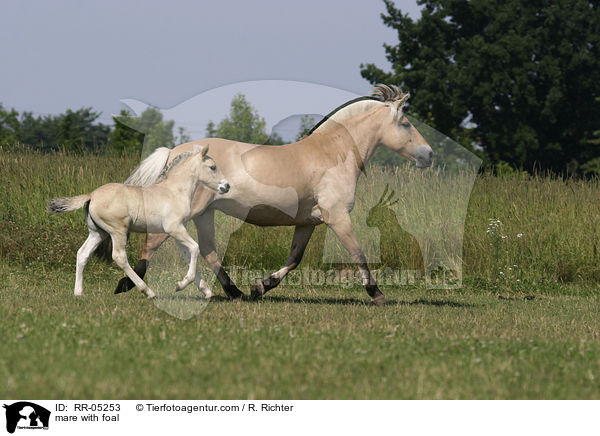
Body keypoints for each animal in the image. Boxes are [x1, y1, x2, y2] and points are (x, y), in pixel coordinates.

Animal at [47, 145, 229, 298]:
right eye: (212, 167)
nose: (226, 186)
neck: (173, 191)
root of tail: (91, 195)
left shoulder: (178, 231)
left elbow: (189, 254)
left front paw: (205, 291)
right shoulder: (175, 229)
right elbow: (195, 248)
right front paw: (182, 285)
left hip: (98, 232)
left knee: (82, 254)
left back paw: (78, 293)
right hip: (117, 231)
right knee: (119, 257)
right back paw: (147, 291)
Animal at [111, 84, 432, 304]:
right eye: (405, 123)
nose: (428, 155)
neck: (332, 153)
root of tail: (177, 152)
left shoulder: (307, 222)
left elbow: (295, 258)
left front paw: (260, 287)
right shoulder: (338, 216)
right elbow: (359, 254)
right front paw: (377, 294)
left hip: (205, 214)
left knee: (209, 250)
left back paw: (235, 292)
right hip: (190, 212)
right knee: (155, 241)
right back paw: (127, 285)